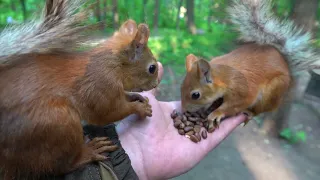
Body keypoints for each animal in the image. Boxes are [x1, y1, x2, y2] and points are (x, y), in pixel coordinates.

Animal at [0, 0, 159, 179]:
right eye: (152, 68)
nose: (155, 84)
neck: (114, 64)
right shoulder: (101, 85)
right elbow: (108, 112)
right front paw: (139, 108)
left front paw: (136, 97)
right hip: (57, 124)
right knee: (61, 165)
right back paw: (89, 151)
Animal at [181, 0, 318, 130]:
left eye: (195, 95)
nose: (184, 110)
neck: (224, 76)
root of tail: (286, 64)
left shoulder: (244, 91)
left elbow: (235, 105)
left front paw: (216, 113)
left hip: (273, 92)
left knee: (260, 110)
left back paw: (250, 112)